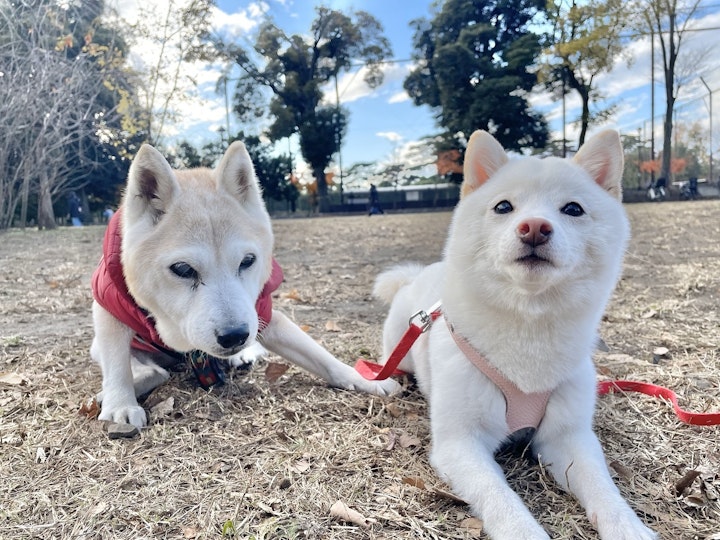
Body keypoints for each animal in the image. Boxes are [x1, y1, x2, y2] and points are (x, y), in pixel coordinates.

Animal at [90, 141, 400, 428]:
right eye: (182, 269)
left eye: (248, 261)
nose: (235, 336)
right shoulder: (108, 306)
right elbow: (118, 365)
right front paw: (119, 404)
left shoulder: (263, 313)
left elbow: (324, 358)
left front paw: (364, 378)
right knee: (152, 370)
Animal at [376, 131, 660, 540]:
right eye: (503, 206)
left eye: (573, 209)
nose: (535, 227)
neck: (529, 325)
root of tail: (417, 276)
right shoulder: (460, 443)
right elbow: (500, 498)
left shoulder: (568, 437)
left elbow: (603, 488)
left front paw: (628, 527)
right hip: (398, 343)